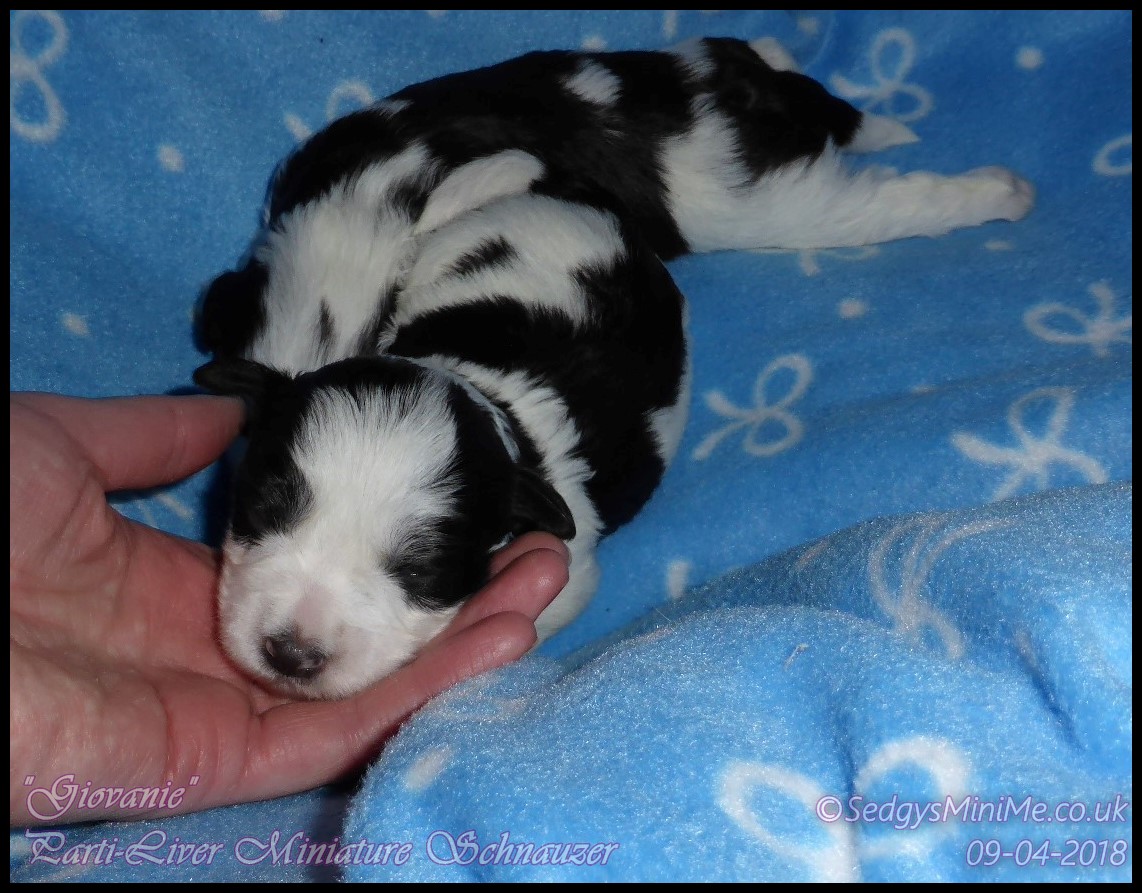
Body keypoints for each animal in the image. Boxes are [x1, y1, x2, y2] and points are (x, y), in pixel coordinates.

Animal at [194, 37, 1034, 699]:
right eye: (258, 508)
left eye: (423, 567)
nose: (291, 651)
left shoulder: (563, 566)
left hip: (758, 203)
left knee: (877, 201)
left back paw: (997, 192)